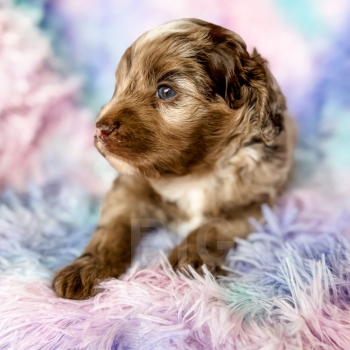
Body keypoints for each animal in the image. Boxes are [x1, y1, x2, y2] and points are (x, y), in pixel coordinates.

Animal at [53, 17, 296, 300]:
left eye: (166, 92)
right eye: (119, 87)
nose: (100, 128)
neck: (196, 172)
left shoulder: (252, 204)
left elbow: (214, 225)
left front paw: (191, 256)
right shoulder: (129, 187)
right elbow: (112, 227)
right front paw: (88, 267)